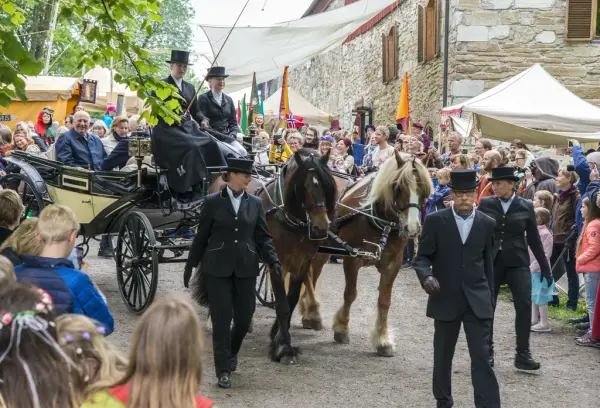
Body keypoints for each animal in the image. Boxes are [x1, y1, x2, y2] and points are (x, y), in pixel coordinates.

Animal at [209, 149, 338, 360]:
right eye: (304, 186)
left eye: (327, 185)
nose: (320, 228)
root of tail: (221, 176)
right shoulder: (277, 263)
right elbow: (282, 304)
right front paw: (284, 346)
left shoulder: (302, 262)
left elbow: (291, 300)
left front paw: (277, 335)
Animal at [300, 151, 432, 356]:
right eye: (399, 186)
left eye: (424, 190)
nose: (412, 228)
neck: (378, 218)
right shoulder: (353, 258)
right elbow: (350, 294)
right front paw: (341, 328)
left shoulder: (392, 264)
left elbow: (385, 301)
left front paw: (383, 340)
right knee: (307, 273)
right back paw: (312, 314)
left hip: (323, 250)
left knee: (312, 274)